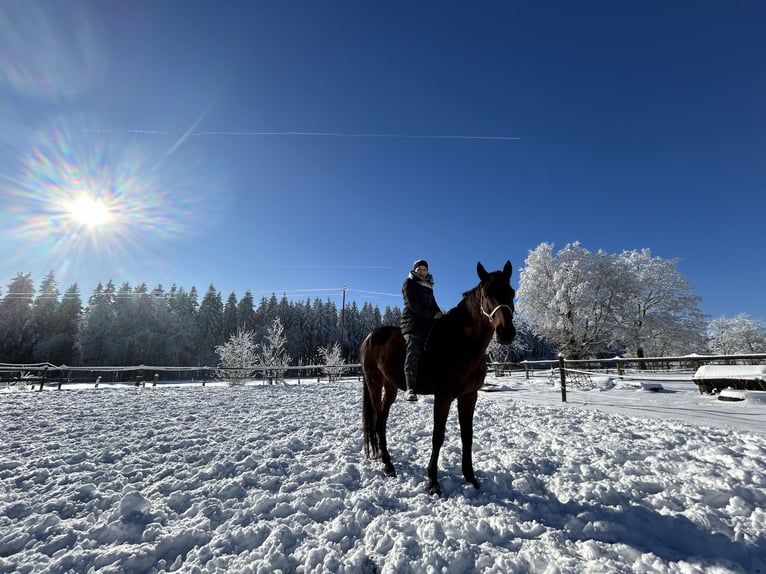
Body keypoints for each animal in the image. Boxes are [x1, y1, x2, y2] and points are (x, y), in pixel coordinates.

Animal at [360, 260, 516, 496]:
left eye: (511, 292)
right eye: (488, 293)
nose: (506, 333)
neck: (460, 343)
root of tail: (370, 337)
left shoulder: (469, 396)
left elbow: (467, 435)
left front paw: (471, 478)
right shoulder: (443, 397)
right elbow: (438, 437)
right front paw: (432, 482)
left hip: (391, 387)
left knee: (382, 421)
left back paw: (387, 461)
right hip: (374, 384)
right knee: (378, 420)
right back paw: (388, 465)